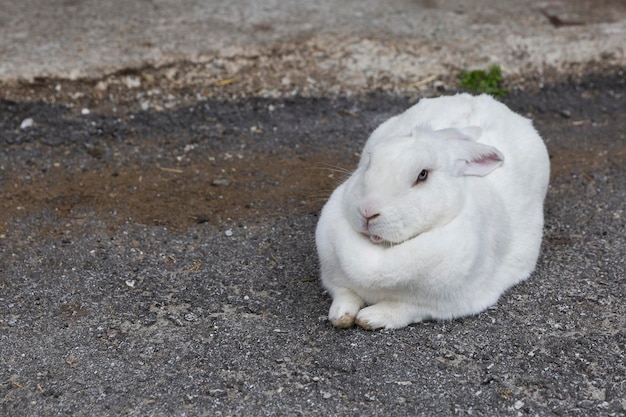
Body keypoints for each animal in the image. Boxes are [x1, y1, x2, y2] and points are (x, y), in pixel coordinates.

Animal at [314, 93, 548, 328]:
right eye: (369, 162)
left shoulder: (442, 305)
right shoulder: (333, 279)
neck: (382, 251)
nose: (367, 211)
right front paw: (340, 316)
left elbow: (402, 308)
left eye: (422, 175)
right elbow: (345, 294)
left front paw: (370, 318)